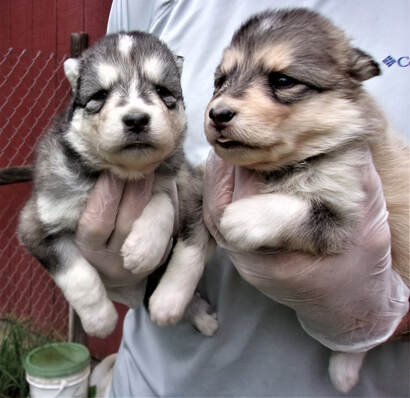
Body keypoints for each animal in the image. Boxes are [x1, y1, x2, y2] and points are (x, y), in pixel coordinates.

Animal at [18, 32, 218, 338]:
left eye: (162, 90)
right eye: (100, 95)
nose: (136, 119)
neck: (127, 173)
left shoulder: (193, 193)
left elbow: (185, 246)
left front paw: (164, 296)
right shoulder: (37, 222)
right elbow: (78, 275)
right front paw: (99, 319)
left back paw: (199, 315)